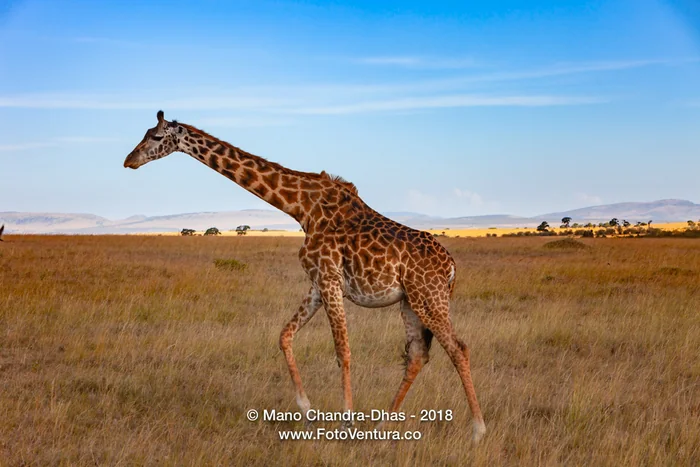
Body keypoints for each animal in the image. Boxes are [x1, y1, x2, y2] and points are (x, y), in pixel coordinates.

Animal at [123, 111, 486, 442]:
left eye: (156, 137)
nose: (129, 161)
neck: (300, 206)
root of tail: (451, 266)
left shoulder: (329, 278)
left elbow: (343, 350)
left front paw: (346, 424)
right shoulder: (316, 283)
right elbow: (284, 336)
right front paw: (307, 409)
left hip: (429, 298)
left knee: (459, 349)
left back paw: (478, 430)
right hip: (411, 301)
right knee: (417, 355)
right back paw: (382, 426)